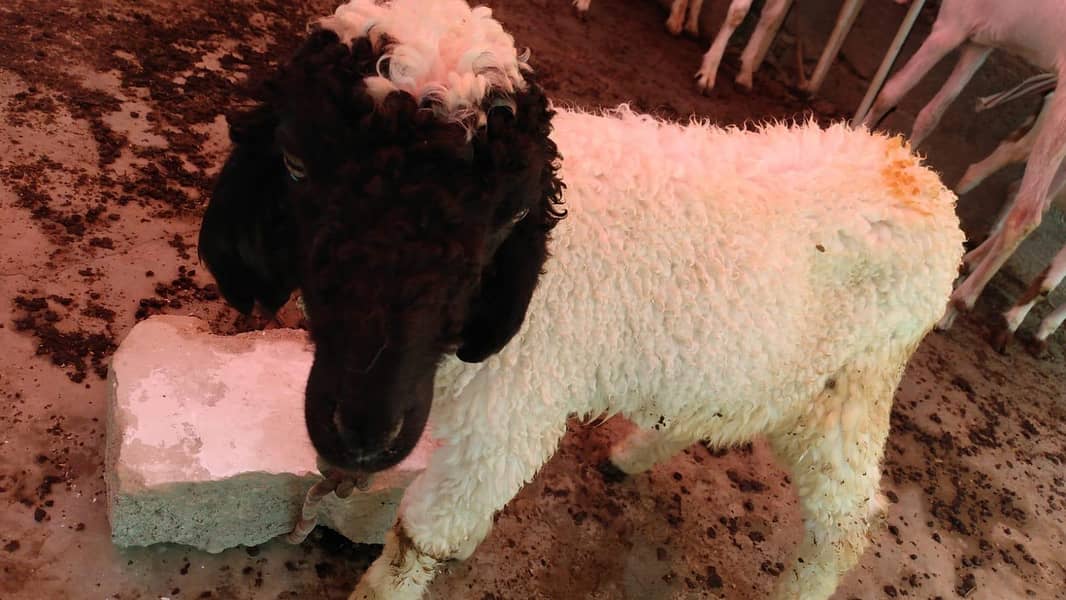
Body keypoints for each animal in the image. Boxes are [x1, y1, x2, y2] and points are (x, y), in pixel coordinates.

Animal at [196, 1, 964, 598]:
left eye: (508, 215)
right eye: (294, 163)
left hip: (855, 388)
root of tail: (920, 178)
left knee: (847, 522)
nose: (363, 435)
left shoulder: (512, 415)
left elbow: (423, 538)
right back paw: (635, 453)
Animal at [854, 0, 1066, 333]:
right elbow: (931, 114)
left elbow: (892, 91)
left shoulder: (951, 26)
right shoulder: (978, 42)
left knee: (1028, 213)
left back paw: (958, 304)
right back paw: (967, 263)